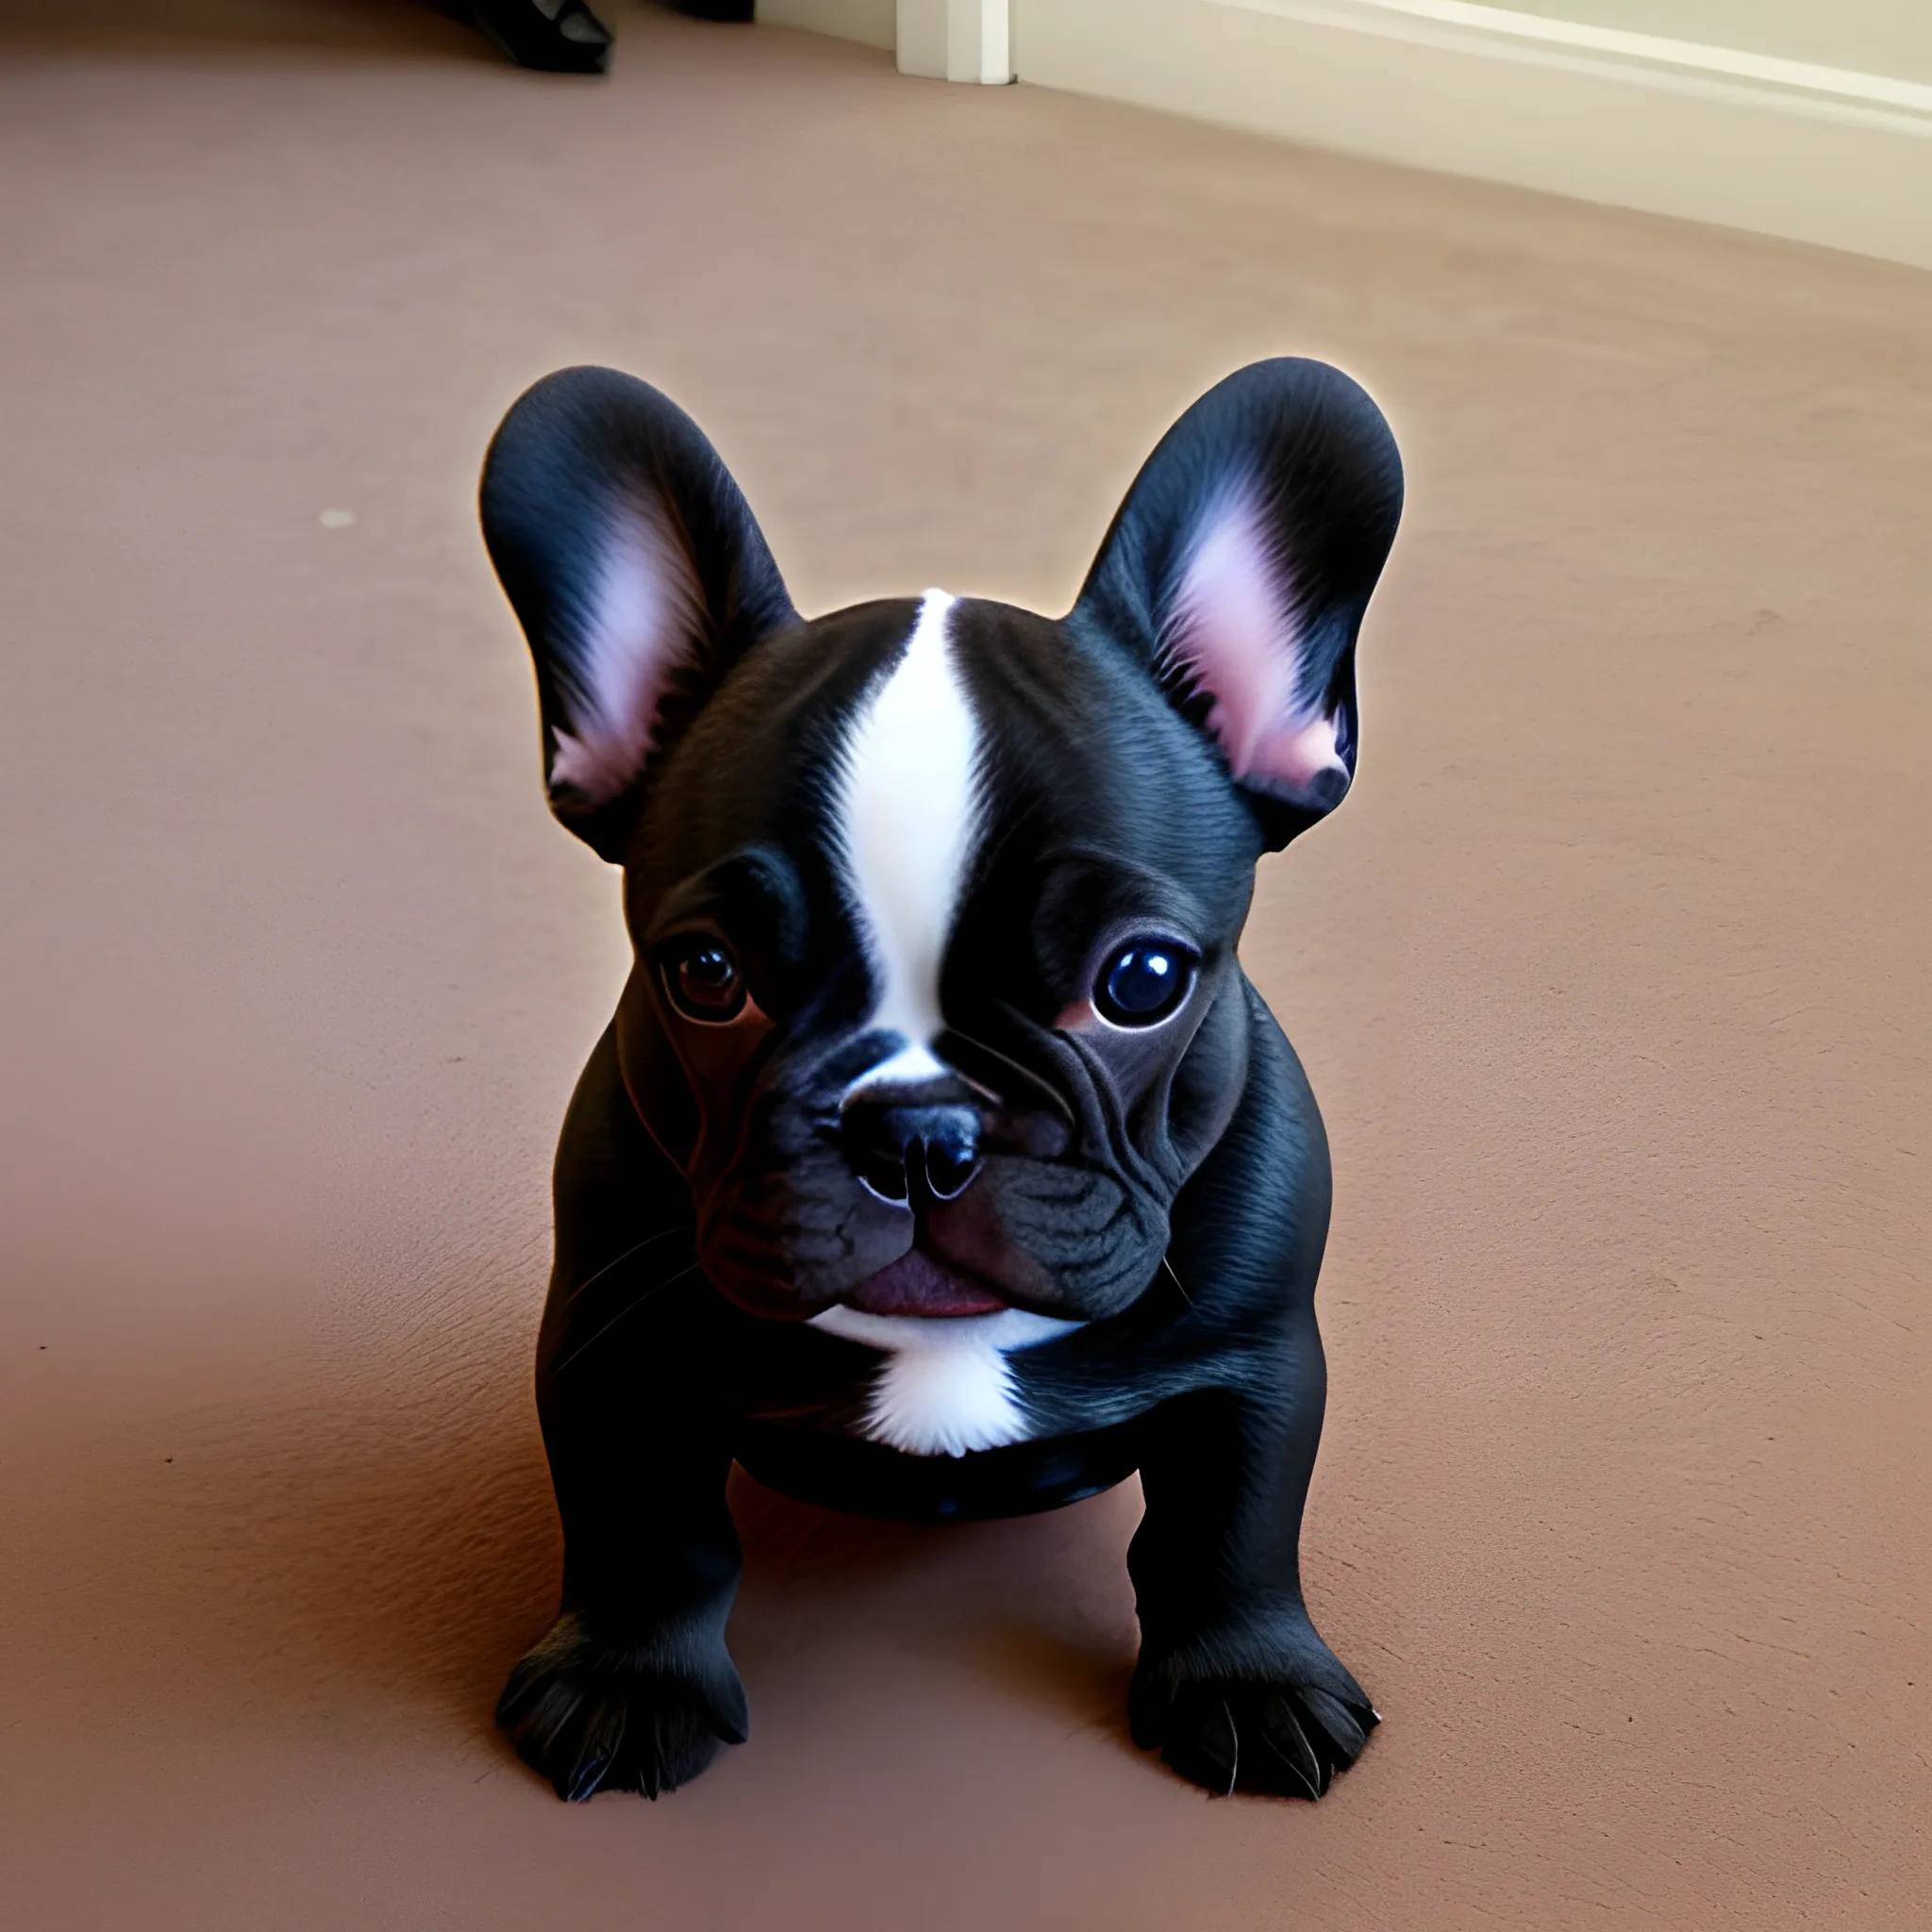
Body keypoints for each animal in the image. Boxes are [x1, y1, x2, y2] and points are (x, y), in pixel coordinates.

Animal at [478, 355, 1406, 1800]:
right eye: (707, 974)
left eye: (1142, 979)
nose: (916, 1132)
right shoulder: (608, 1345)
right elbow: (641, 1522)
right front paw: (625, 1687)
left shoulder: (1255, 1358)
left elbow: (1230, 1528)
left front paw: (1250, 1686)